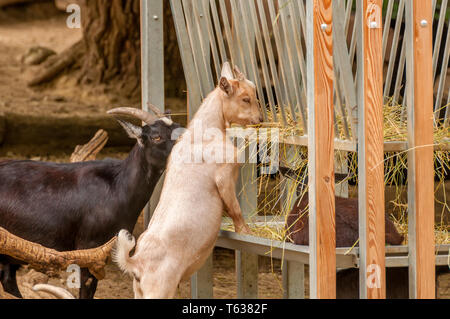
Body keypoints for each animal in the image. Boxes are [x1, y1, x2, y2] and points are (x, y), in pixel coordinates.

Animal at [114, 63, 264, 300]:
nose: (260, 119)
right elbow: (235, 209)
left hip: (140, 292)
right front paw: (246, 232)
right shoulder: (223, 177)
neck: (203, 134)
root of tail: (135, 263)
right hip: (159, 291)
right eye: (245, 98)